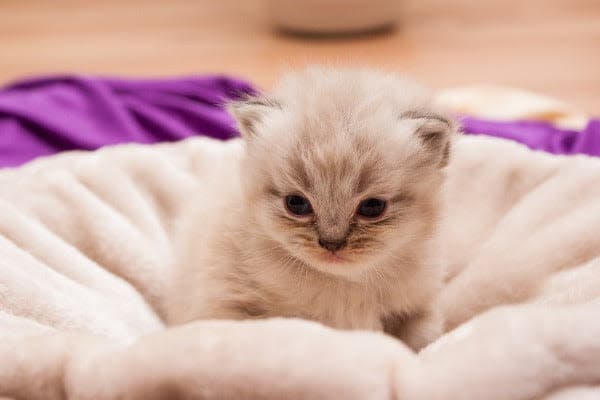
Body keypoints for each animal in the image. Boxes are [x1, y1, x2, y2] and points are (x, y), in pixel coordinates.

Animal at [165, 68, 454, 350]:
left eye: (372, 207)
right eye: (297, 204)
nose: (331, 244)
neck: (344, 285)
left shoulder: (418, 307)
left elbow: (417, 345)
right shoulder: (232, 306)